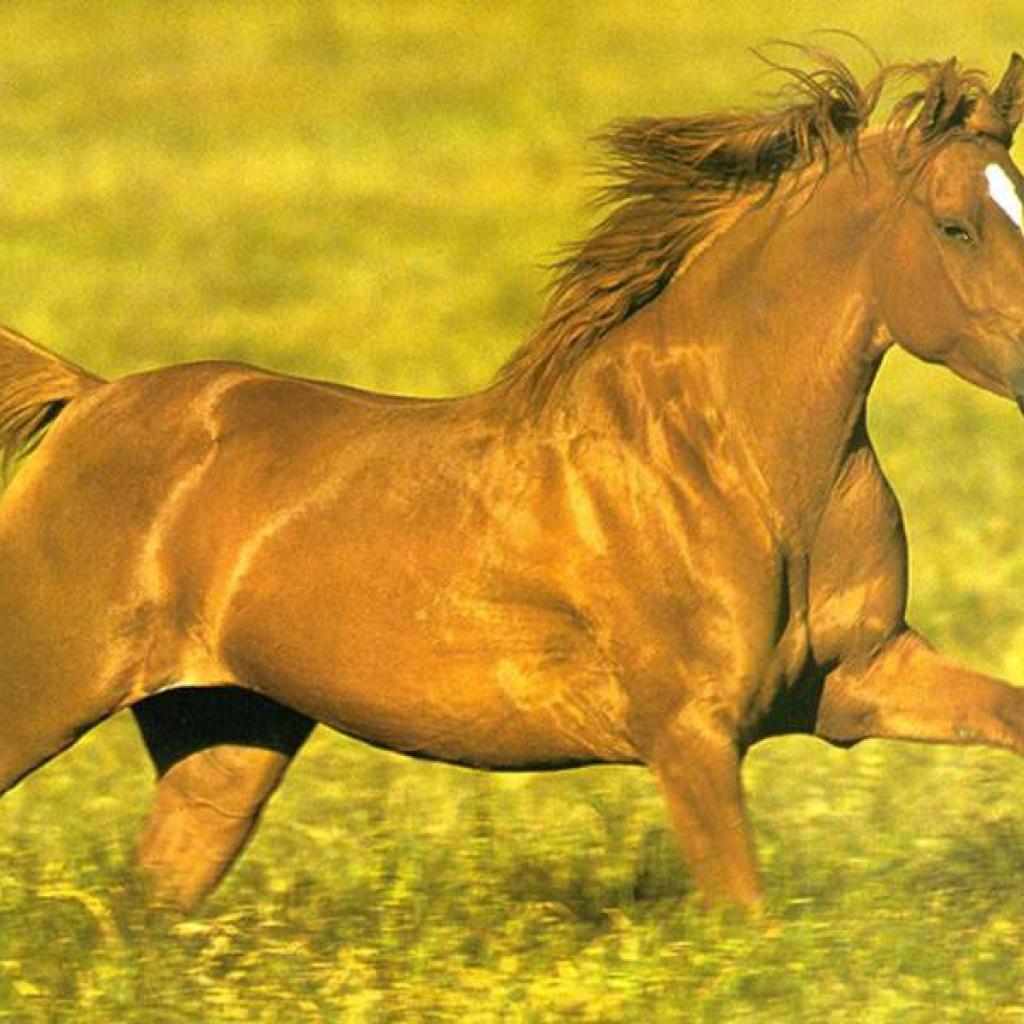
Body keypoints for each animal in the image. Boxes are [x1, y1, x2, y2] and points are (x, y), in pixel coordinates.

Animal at [3, 50, 1024, 914]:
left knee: (153, 901)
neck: (734, 468)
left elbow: (1003, 713)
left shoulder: (857, 679)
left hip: (226, 736)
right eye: (954, 225)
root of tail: (87, 400)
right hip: (53, 688)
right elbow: (744, 910)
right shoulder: (690, 733)